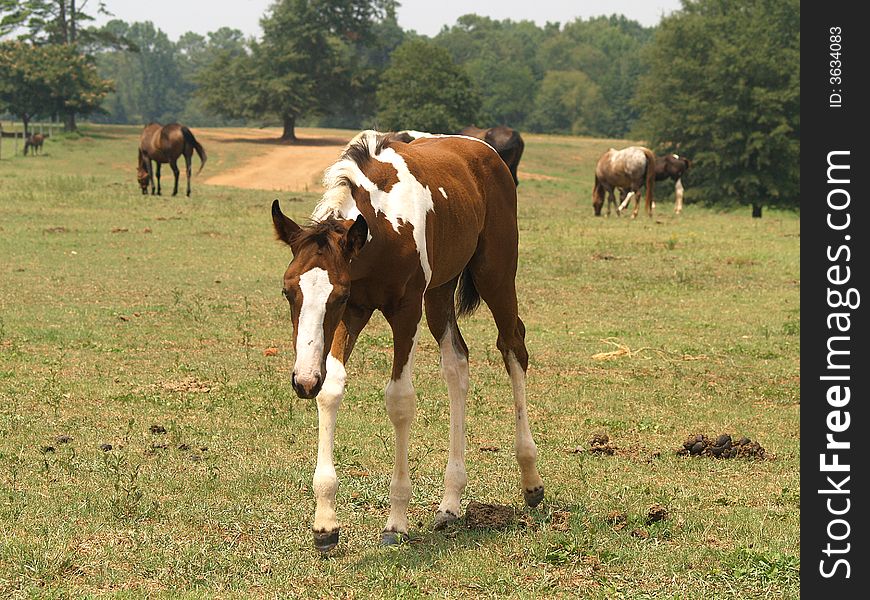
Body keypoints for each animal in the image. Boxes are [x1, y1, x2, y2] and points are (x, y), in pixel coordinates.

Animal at [272, 129, 544, 552]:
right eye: (288, 292)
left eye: (336, 295)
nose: (302, 381)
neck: (383, 227)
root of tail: (483, 150)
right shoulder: (355, 313)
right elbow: (331, 389)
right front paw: (325, 523)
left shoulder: (402, 311)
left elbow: (400, 400)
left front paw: (396, 521)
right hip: (440, 292)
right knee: (457, 364)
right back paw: (450, 503)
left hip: (495, 274)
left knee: (513, 345)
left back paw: (531, 481)